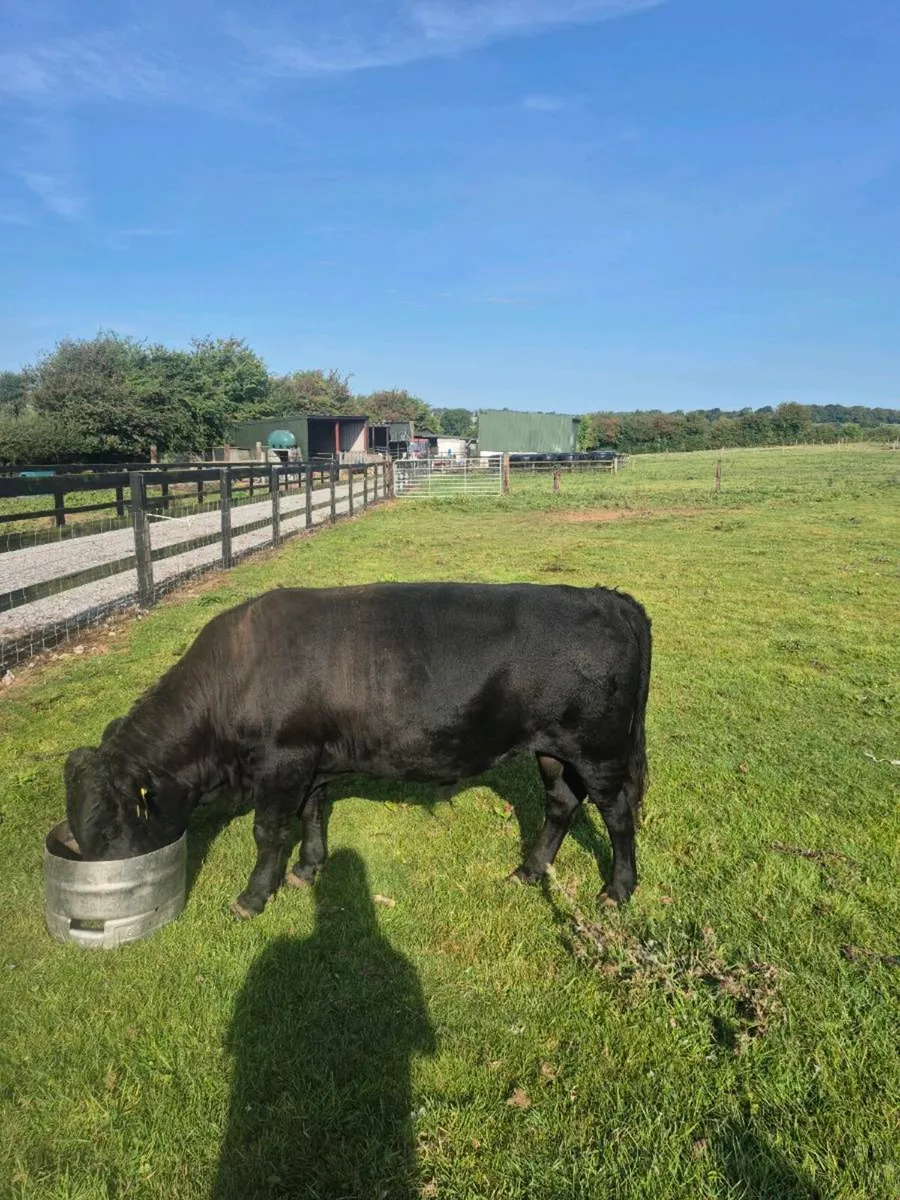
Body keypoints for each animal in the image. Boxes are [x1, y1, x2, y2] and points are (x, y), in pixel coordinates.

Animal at [64, 583, 651, 919]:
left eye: (110, 829)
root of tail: (607, 597)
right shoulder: (311, 759)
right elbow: (312, 813)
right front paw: (307, 869)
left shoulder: (281, 760)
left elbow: (268, 830)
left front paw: (253, 897)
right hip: (554, 750)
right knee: (561, 803)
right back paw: (529, 870)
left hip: (599, 749)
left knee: (619, 813)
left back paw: (618, 889)